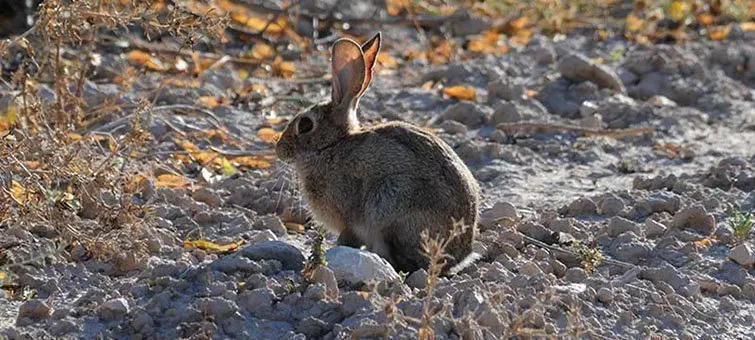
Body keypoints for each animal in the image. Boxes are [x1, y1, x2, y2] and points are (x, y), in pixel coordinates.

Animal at [276, 31, 478, 274]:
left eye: (305, 125)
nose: (279, 149)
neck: (331, 145)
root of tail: (458, 256)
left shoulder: (349, 219)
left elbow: (347, 238)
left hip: (391, 200)